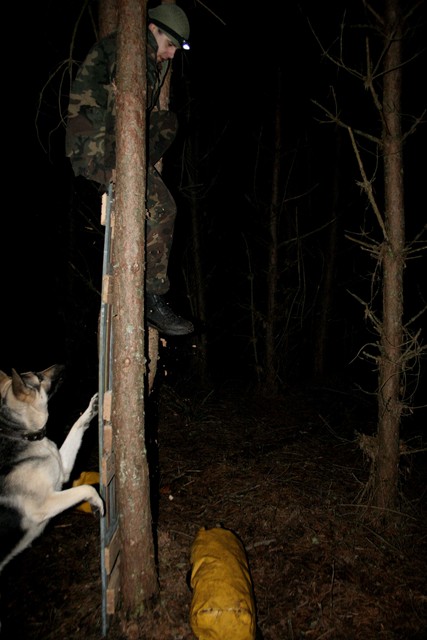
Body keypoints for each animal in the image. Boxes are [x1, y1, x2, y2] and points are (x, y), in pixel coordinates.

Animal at [0, 364, 103, 576]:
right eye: (38, 377)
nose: (62, 365)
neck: (23, 435)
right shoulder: (44, 504)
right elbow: (87, 488)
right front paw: (96, 503)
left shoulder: (62, 471)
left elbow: (76, 426)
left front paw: (92, 408)